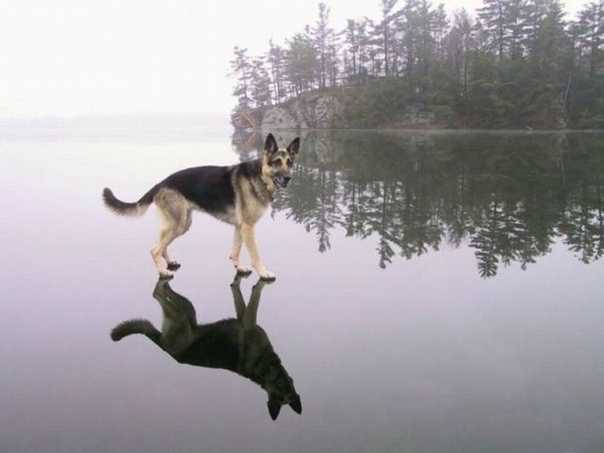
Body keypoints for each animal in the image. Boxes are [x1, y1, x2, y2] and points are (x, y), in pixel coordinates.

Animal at [105, 132, 302, 278]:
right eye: (277, 162)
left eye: (289, 163)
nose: (288, 178)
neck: (260, 176)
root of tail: (161, 183)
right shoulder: (248, 227)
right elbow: (255, 254)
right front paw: (263, 272)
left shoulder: (240, 227)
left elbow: (235, 251)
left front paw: (239, 267)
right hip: (178, 224)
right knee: (154, 249)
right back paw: (162, 271)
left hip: (182, 224)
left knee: (160, 243)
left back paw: (168, 261)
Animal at [110, 272, 302, 420]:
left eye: (285, 391)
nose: (282, 382)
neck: (265, 369)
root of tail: (162, 345)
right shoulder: (247, 321)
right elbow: (247, 295)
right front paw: (253, 282)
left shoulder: (246, 322)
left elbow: (247, 296)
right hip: (186, 312)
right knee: (157, 293)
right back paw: (166, 279)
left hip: (184, 315)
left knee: (157, 293)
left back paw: (164, 281)